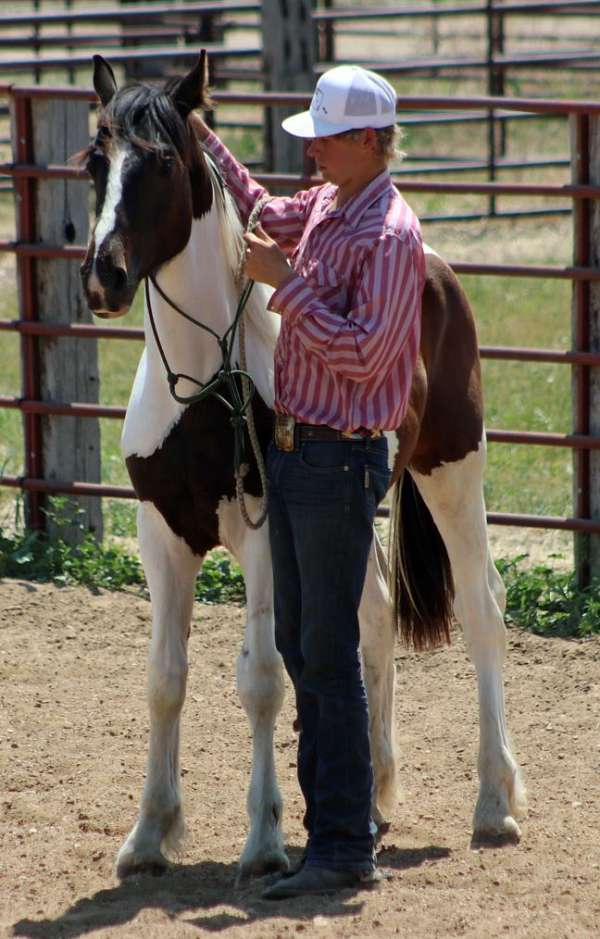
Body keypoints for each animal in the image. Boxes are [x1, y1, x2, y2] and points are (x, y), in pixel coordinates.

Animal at [81, 55, 524, 880]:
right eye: (96, 161)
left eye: (162, 162)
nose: (105, 277)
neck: (206, 382)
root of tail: (434, 264)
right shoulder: (162, 535)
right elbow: (164, 682)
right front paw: (149, 834)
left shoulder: (263, 535)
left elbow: (261, 678)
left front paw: (263, 841)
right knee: (374, 615)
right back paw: (375, 799)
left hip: (453, 471)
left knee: (483, 608)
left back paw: (495, 801)